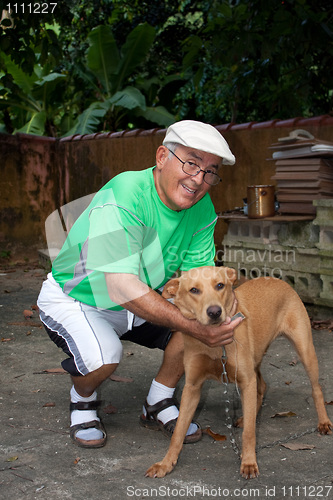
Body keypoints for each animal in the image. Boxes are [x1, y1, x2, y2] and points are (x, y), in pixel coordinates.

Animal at [145, 268, 330, 478]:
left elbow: (249, 432)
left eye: (220, 285)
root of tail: (277, 279)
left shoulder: (246, 380)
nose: (215, 312)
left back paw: (324, 422)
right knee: (262, 386)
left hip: (305, 350)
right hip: (255, 360)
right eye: (194, 290)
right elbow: (178, 433)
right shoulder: (192, 387)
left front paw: (249, 462)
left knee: (316, 388)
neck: (215, 347)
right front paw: (166, 463)